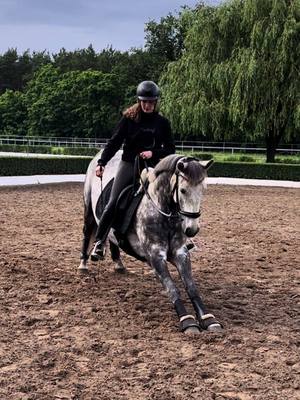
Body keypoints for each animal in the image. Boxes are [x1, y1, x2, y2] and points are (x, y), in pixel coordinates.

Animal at [78, 152, 221, 332]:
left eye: (203, 190)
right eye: (182, 190)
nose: (192, 229)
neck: (162, 212)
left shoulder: (180, 253)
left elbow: (191, 286)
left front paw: (208, 318)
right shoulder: (155, 256)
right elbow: (172, 288)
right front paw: (187, 321)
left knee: (112, 240)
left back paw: (118, 264)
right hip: (89, 209)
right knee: (89, 232)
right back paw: (84, 263)